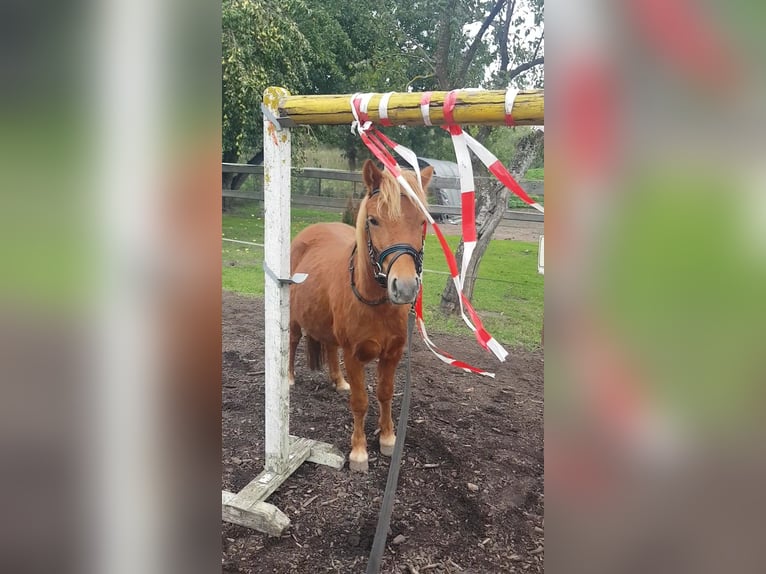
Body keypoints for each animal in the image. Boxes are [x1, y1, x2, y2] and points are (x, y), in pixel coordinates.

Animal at [288, 161, 432, 472]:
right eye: (374, 220)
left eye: (422, 222)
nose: (404, 287)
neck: (376, 304)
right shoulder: (354, 356)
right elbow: (360, 401)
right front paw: (359, 452)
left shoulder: (393, 354)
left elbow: (385, 392)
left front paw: (388, 439)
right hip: (292, 316)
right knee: (292, 341)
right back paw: (290, 377)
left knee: (330, 347)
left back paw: (338, 380)